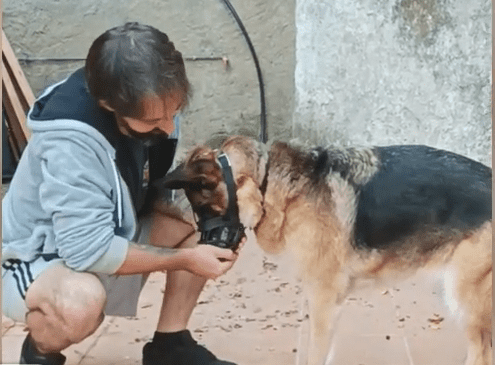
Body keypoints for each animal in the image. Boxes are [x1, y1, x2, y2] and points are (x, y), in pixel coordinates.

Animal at [160, 136, 492, 364]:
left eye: (204, 208)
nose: (204, 251)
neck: (268, 180)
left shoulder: (323, 301)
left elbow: (316, 355)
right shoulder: (323, 302)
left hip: (464, 296)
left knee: (482, 354)